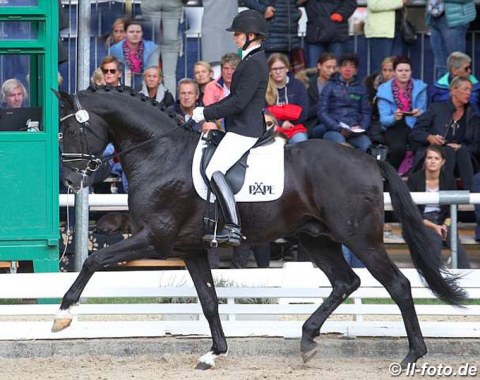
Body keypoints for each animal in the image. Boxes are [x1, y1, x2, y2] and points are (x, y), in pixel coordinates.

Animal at [52, 87, 464, 370]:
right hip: (316, 238)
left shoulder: (155, 239)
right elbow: (209, 300)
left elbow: (93, 261)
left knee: (398, 284)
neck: (160, 153)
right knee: (346, 282)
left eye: (69, 132)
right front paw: (213, 353)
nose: (70, 181)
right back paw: (308, 339)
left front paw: (62, 314)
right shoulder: (190, 249)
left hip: (360, 238)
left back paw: (412, 354)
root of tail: (368, 159)